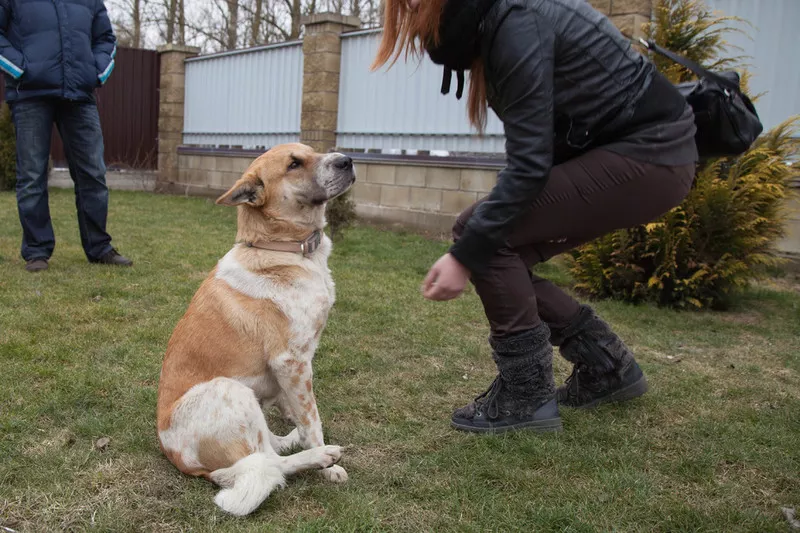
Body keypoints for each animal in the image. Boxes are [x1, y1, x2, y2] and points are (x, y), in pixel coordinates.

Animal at [155, 142, 354, 516]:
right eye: (294, 164)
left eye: (312, 151)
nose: (347, 160)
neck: (281, 249)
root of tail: (182, 461)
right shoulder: (291, 362)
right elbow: (312, 420)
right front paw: (329, 468)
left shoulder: (292, 370)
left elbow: (299, 414)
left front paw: (298, 430)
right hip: (231, 389)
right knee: (270, 463)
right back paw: (321, 456)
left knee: (269, 450)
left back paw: (292, 441)